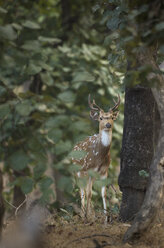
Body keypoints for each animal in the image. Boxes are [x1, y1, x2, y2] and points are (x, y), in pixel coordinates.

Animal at [72, 94, 120, 222]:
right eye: (101, 118)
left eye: (111, 117)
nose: (108, 124)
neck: (99, 157)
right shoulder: (88, 170)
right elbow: (88, 193)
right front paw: (88, 217)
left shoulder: (104, 171)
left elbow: (103, 193)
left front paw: (105, 218)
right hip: (77, 171)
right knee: (82, 191)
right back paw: (83, 214)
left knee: (86, 190)